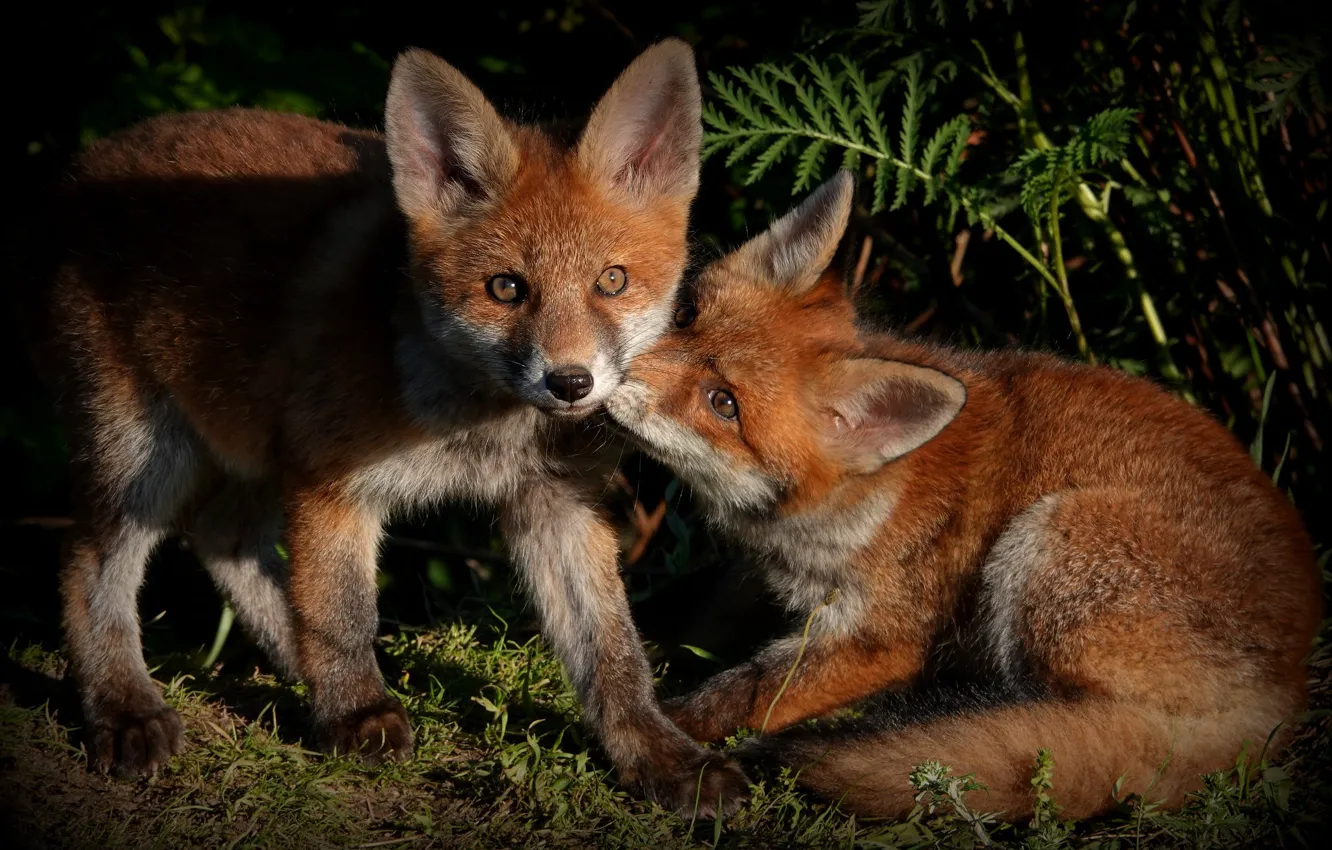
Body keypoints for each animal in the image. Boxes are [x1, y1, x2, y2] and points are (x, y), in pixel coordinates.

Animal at [18, 40, 749, 814]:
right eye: (506, 288)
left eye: (612, 281)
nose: (570, 382)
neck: (479, 429)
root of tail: (77, 170)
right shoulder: (329, 481)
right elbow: (342, 616)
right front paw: (355, 714)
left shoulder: (557, 503)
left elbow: (612, 653)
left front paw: (661, 756)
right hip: (146, 459)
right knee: (87, 565)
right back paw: (125, 708)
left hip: (251, 448)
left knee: (221, 536)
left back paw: (296, 668)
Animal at [604, 170, 1322, 820]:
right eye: (685, 315)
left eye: (723, 403)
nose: (599, 377)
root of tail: (1285, 696)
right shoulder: (755, 579)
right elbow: (676, 612)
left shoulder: (883, 633)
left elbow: (746, 692)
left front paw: (657, 734)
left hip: (1048, 539)